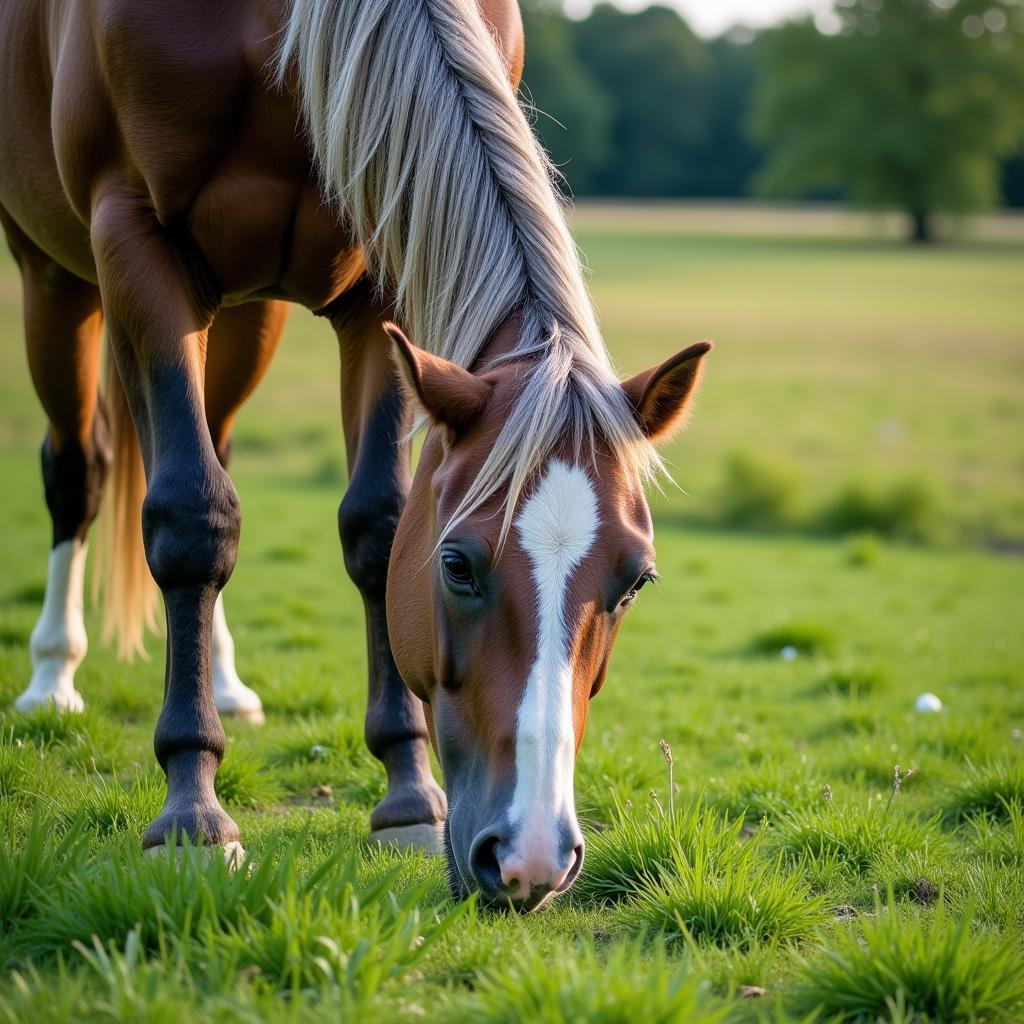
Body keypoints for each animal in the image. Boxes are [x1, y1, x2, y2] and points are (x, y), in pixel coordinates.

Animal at [0, 0, 708, 913]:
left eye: (636, 581)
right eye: (457, 566)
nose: (532, 860)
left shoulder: (382, 268)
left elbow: (375, 523)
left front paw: (407, 795)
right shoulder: (134, 243)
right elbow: (191, 518)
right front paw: (193, 815)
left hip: (244, 313)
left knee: (213, 446)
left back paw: (223, 680)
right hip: (55, 278)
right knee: (80, 470)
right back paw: (53, 677)